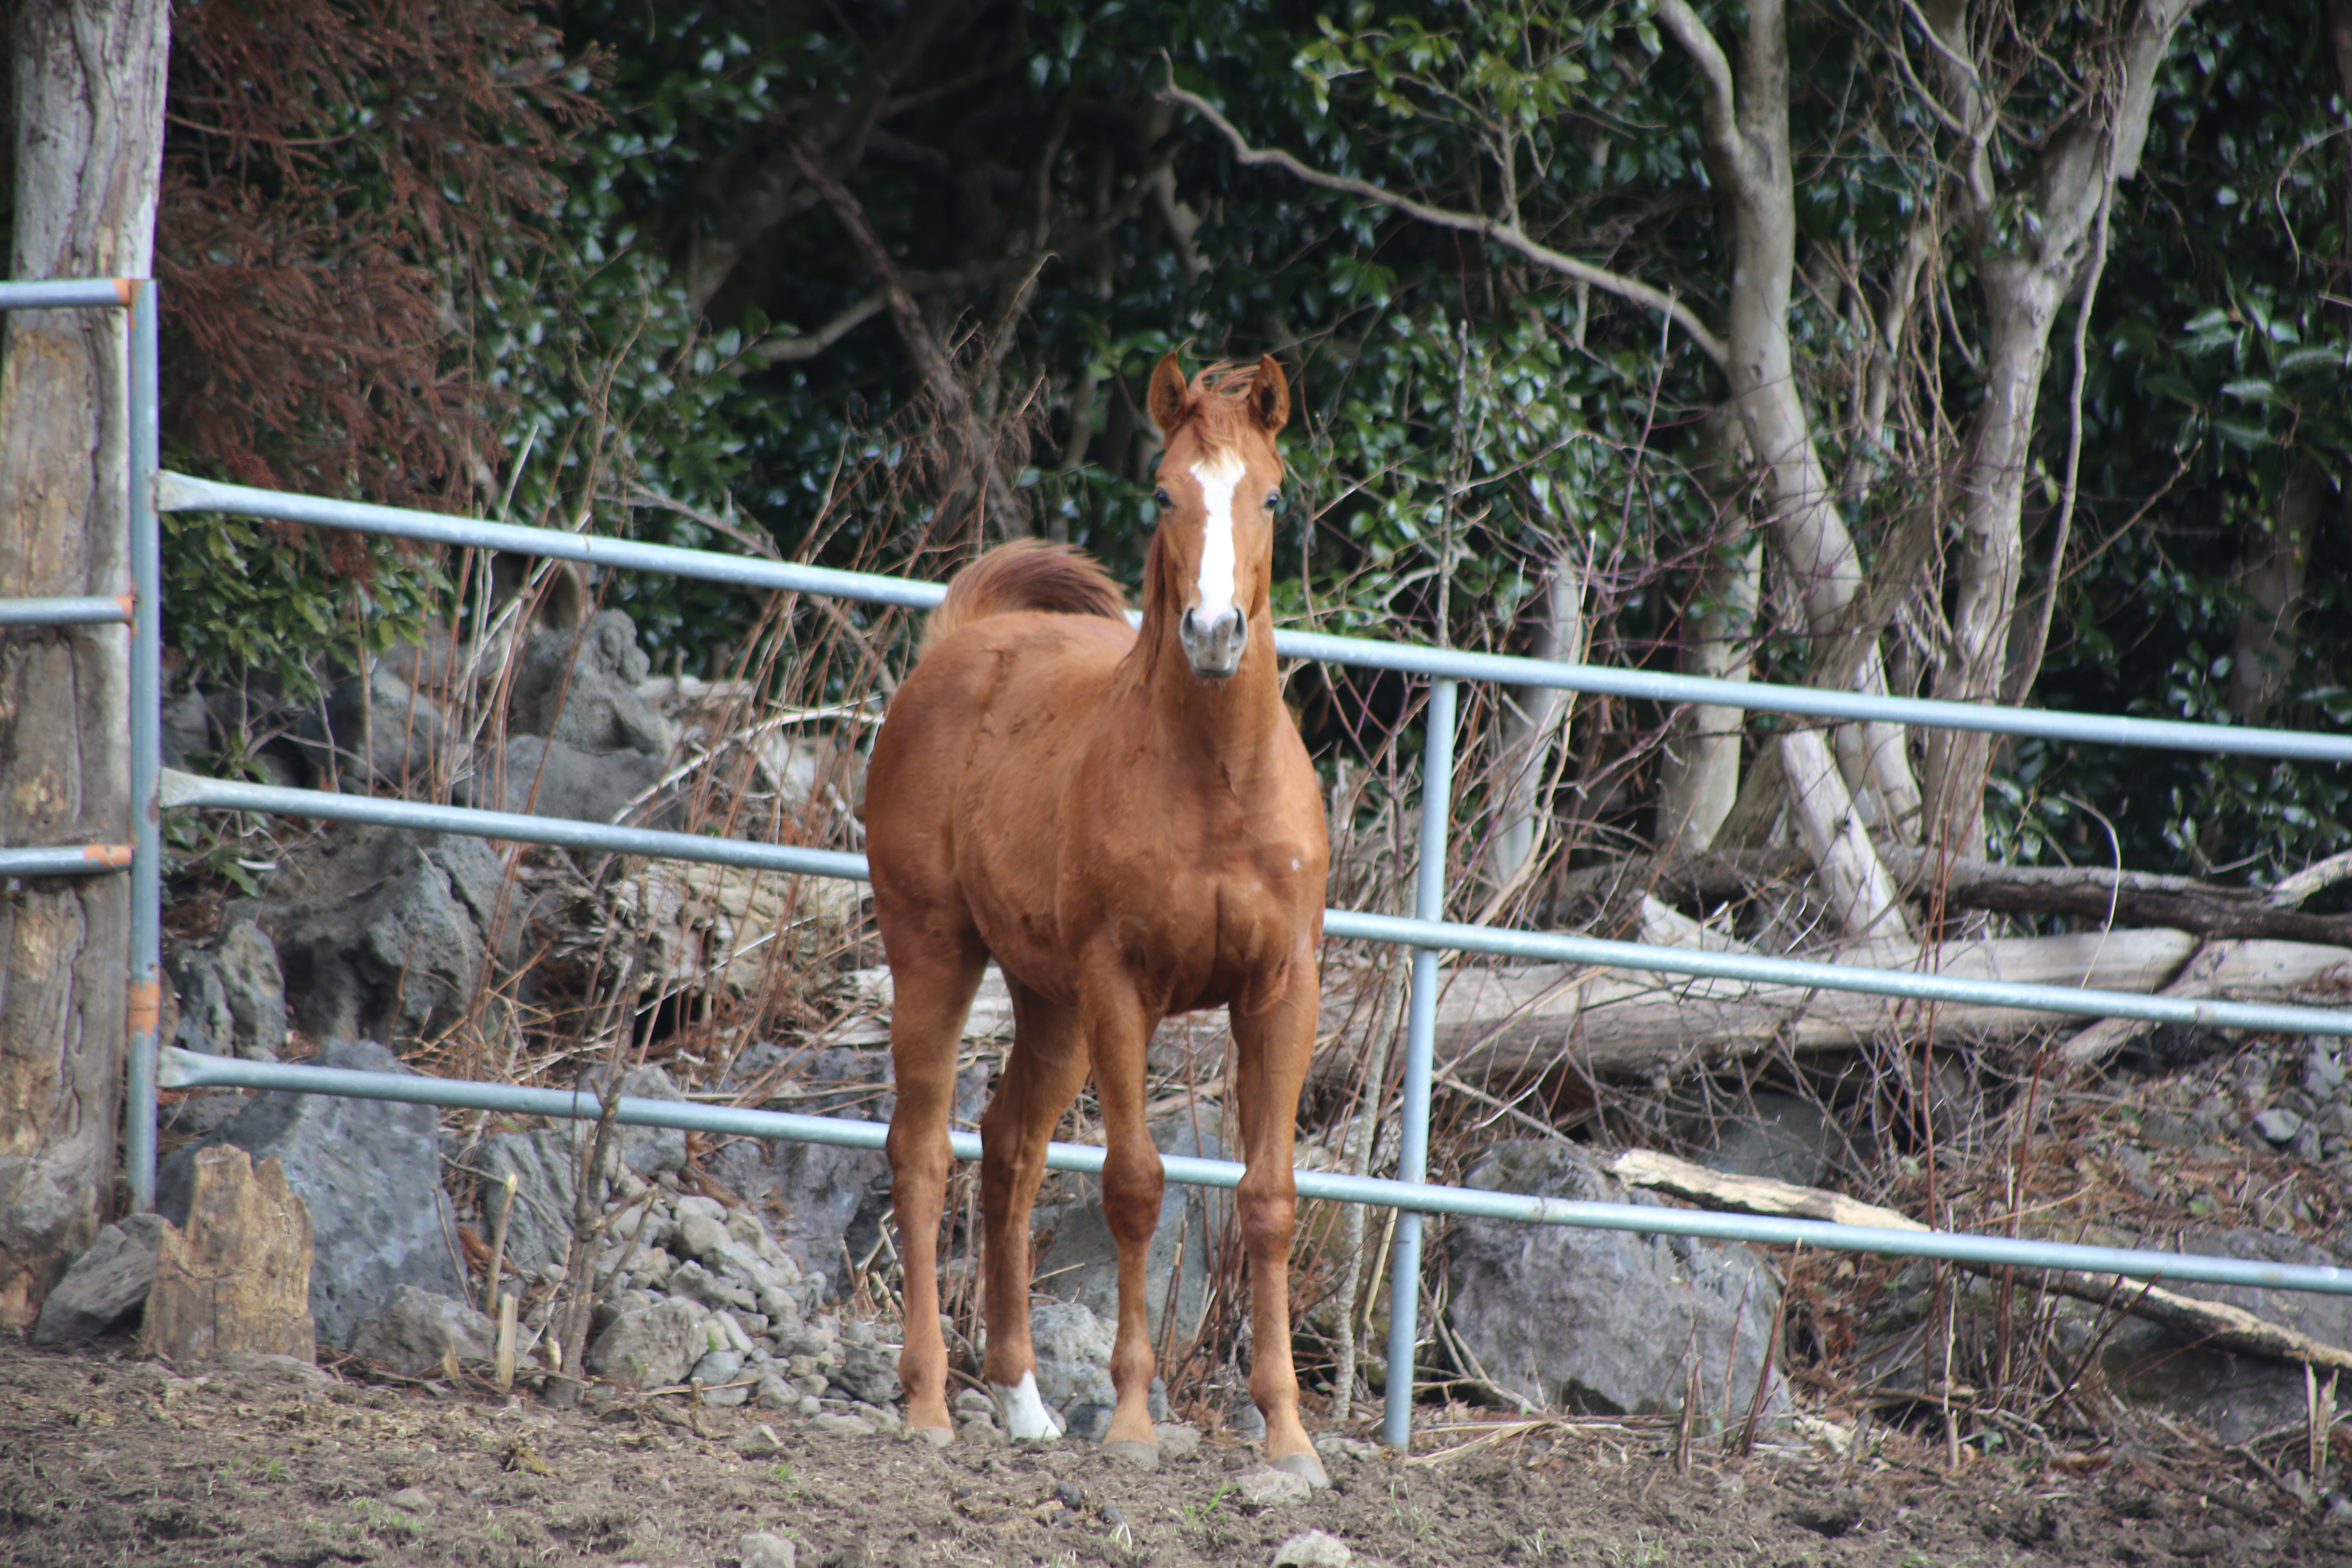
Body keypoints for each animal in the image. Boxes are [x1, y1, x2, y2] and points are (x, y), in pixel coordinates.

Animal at [865, 355, 1336, 1486]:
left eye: (1271, 495)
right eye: (1163, 493)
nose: (1212, 633)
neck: (1217, 779)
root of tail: (965, 643)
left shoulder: (1281, 989)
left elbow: (1268, 1197)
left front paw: (1289, 1437)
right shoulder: (1125, 986)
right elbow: (1133, 1185)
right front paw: (1129, 1422)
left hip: (1049, 1001)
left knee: (1009, 1152)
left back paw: (1024, 1402)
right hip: (936, 957)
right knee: (923, 1150)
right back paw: (929, 1401)